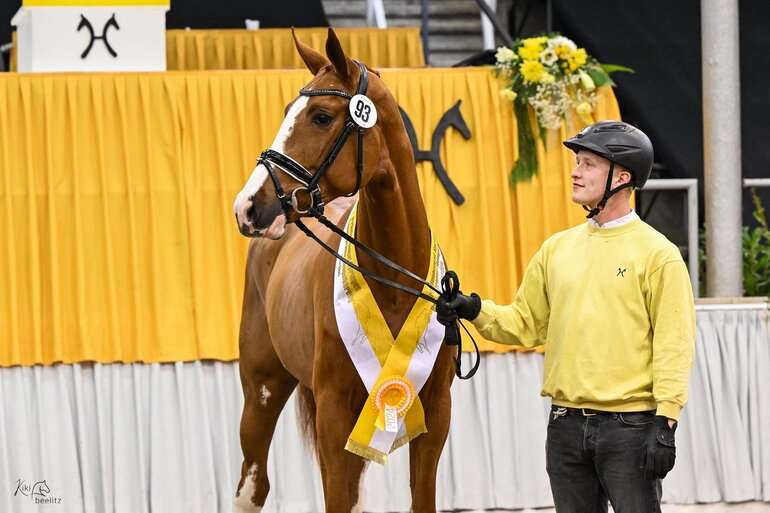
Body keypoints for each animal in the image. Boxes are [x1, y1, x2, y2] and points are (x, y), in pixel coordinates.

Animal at [232, 28, 456, 513]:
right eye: (286, 112)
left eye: (320, 116)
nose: (249, 206)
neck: (394, 284)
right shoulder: (335, 413)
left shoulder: (436, 414)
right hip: (261, 392)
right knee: (252, 487)